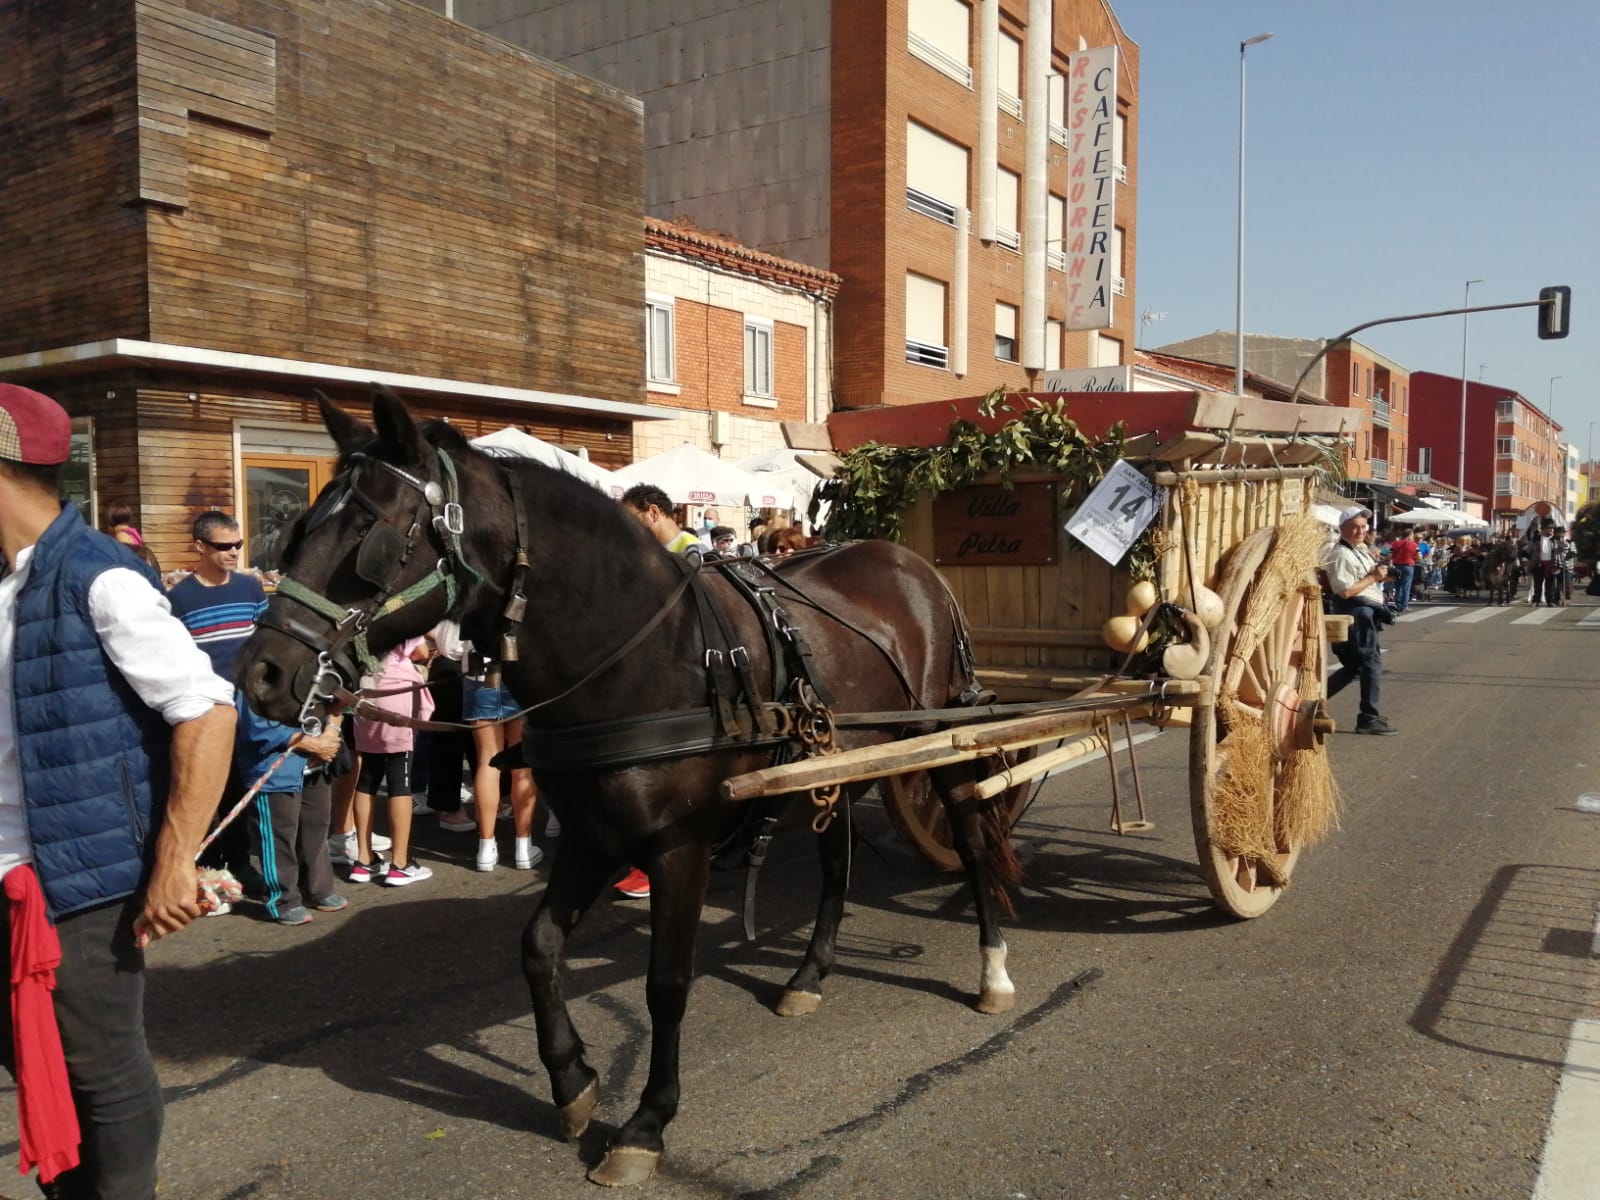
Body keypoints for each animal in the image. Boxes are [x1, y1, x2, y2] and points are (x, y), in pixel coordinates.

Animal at [233, 390, 1017, 1190]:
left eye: (371, 536)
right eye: (298, 530)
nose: (260, 673)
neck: (641, 656)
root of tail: (910, 563)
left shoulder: (681, 848)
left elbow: (665, 982)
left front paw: (646, 1123)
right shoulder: (592, 835)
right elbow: (538, 946)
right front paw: (572, 1080)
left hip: (944, 742)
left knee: (973, 841)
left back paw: (992, 969)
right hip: (840, 763)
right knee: (837, 861)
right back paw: (810, 973)